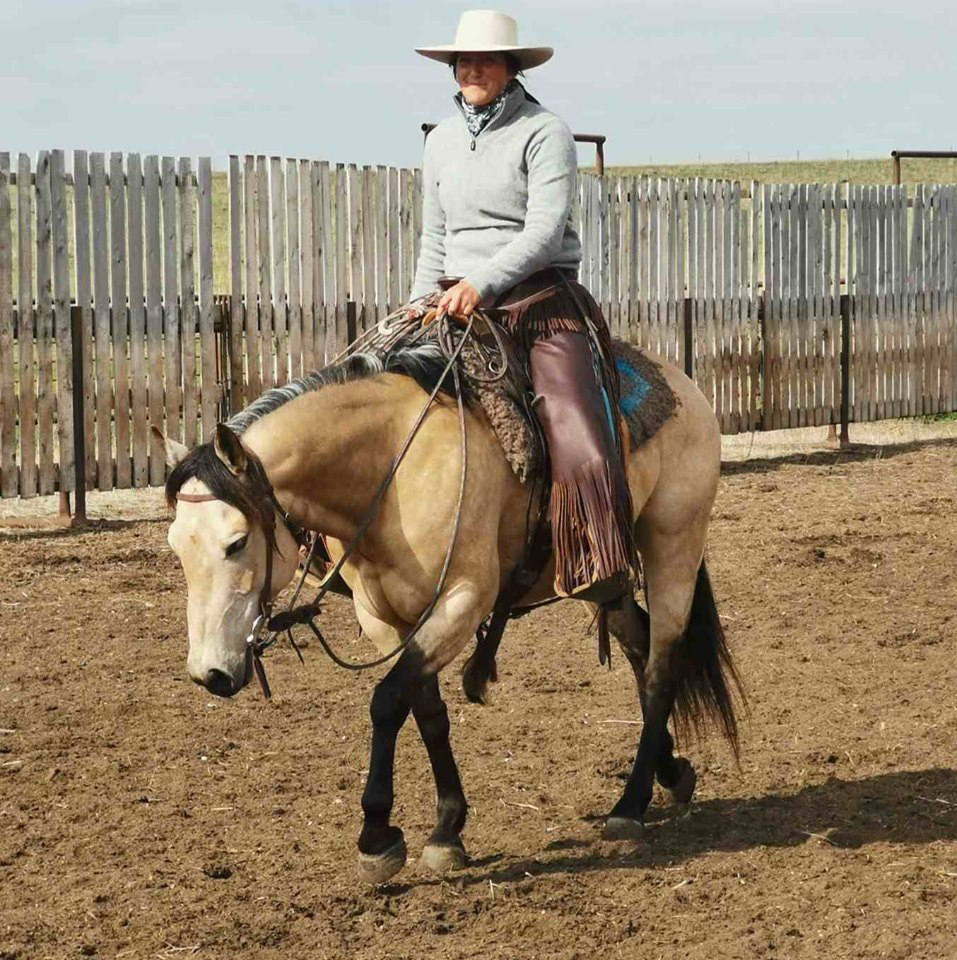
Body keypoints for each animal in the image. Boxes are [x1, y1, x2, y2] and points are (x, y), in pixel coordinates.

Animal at [161, 324, 744, 884]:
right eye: (175, 546)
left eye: (236, 543)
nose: (209, 673)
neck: (390, 470)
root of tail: (684, 385)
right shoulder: (386, 619)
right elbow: (425, 709)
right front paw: (447, 829)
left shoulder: (463, 600)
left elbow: (387, 701)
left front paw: (377, 837)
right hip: (602, 576)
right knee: (639, 650)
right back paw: (670, 772)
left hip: (673, 544)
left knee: (662, 666)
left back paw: (629, 805)